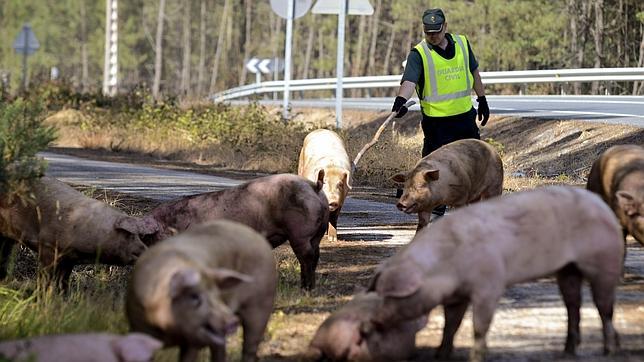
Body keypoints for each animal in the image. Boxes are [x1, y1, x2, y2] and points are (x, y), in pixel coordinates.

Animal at [127, 221, 276, 362]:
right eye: (194, 297)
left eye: (217, 294)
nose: (232, 321)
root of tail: (257, 235)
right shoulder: (138, 327)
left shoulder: (193, 341)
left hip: (261, 303)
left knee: (250, 346)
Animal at [143, 174, 330, 290]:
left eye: (151, 238)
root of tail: (314, 186)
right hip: (318, 232)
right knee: (316, 254)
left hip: (299, 233)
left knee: (307, 257)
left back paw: (306, 288)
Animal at [368, 187, 624, 362]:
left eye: (391, 295)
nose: (370, 323)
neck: (444, 263)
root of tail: (602, 205)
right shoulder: (456, 295)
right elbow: (451, 323)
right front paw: (441, 355)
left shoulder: (489, 285)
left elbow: (479, 325)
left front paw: (476, 358)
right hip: (567, 269)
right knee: (573, 304)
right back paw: (568, 351)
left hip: (603, 261)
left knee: (605, 308)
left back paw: (608, 350)